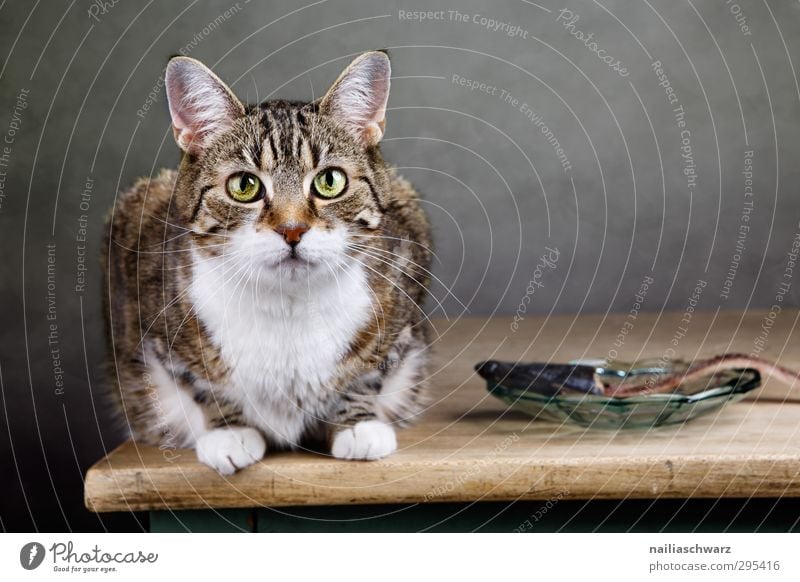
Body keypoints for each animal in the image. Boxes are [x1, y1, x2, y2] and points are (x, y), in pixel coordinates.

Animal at [105, 52, 434, 476]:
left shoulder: (406, 273)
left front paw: (356, 424)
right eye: (244, 186)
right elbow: (198, 382)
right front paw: (228, 431)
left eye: (330, 181)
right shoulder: (147, 294)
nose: (292, 230)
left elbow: (372, 371)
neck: (288, 306)